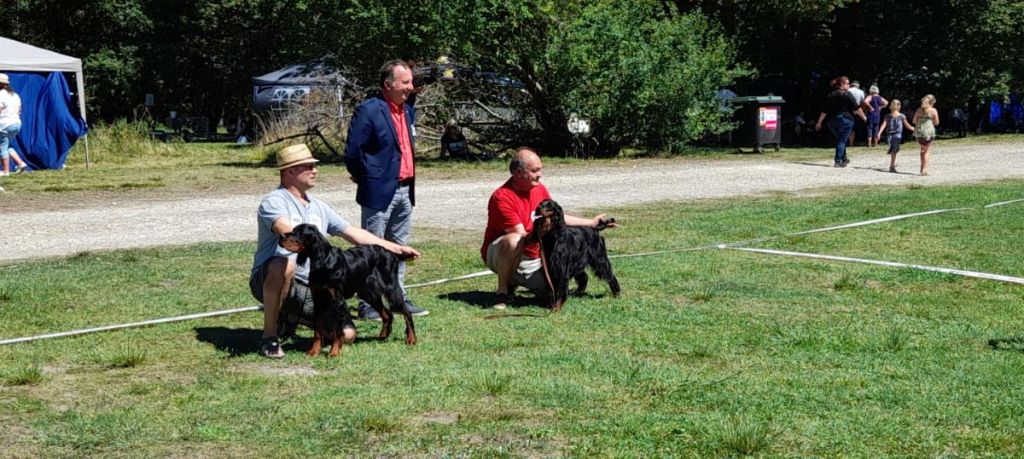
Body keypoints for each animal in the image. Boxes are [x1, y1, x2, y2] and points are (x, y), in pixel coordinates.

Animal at [278, 222, 413, 354]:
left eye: (300, 233)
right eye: (293, 230)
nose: (280, 236)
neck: (324, 261)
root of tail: (390, 253)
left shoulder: (338, 300)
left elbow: (338, 330)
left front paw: (334, 352)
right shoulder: (318, 299)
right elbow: (317, 329)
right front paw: (314, 351)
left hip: (390, 289)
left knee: (406, 311)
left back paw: (411, 339)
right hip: (368, 293)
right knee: (387, 314)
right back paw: (382, 337)